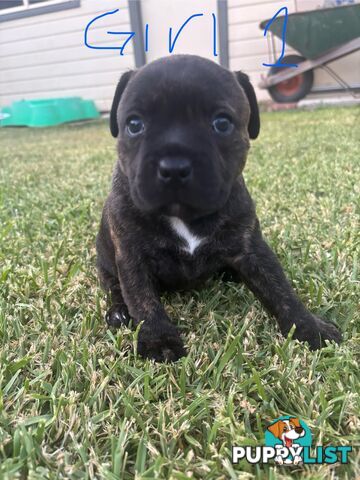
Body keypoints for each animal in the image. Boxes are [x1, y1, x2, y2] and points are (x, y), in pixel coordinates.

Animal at [95, 54, 340, 362]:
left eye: (222, 123)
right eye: (134, 124)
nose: (174, 166)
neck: (185, 216)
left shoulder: (252, 248)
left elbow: (280, 288)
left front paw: (309, 327)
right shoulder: (131, 256)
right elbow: (142, 300)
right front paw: (159, 341)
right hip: (104, 263)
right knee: (115, 288)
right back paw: (118, 312)